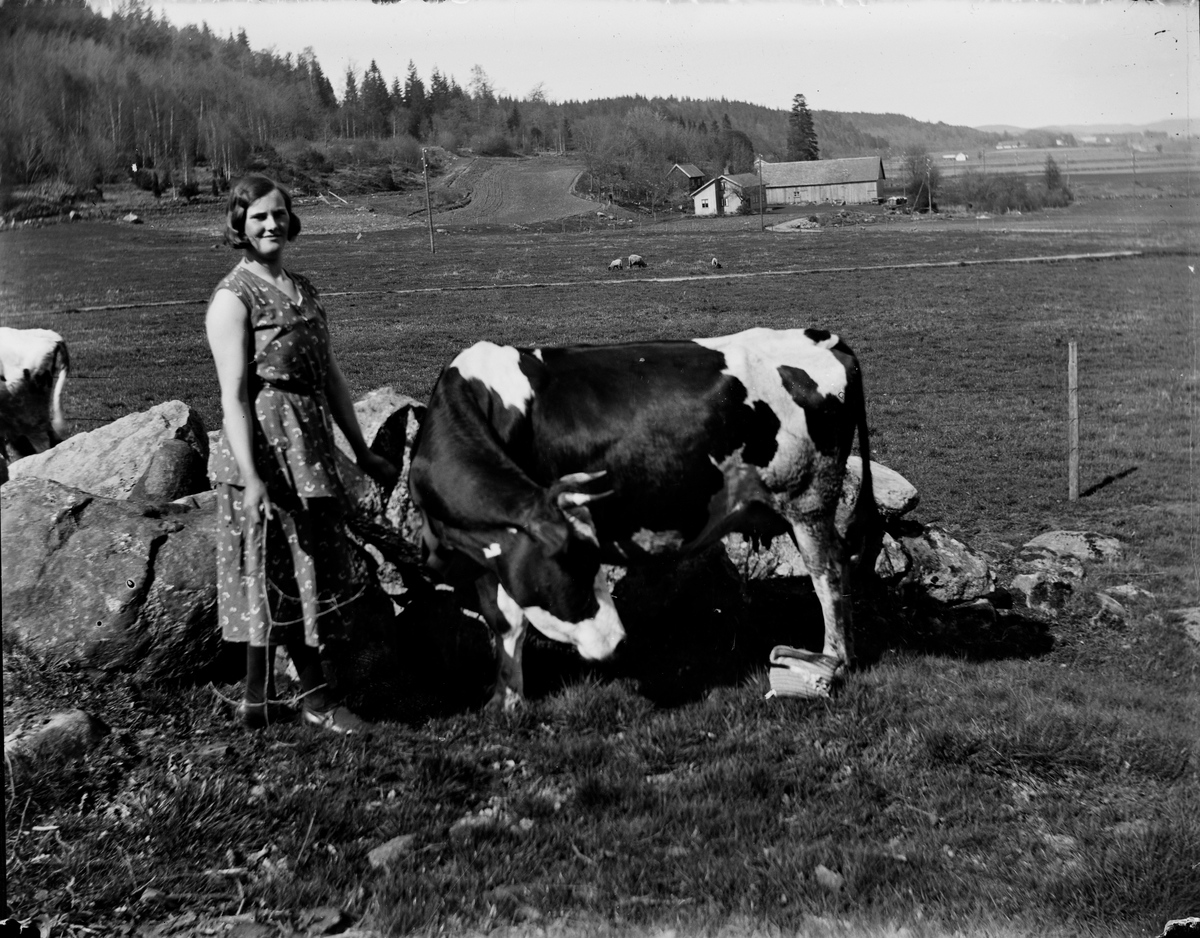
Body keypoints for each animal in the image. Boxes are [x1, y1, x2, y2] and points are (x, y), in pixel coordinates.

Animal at [408, 326, 878, 710]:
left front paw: (510, 698)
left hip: (807, 501)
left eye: (592, 560)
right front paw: (502, 698)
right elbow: (502, 621)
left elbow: (515, 619)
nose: (618, 643)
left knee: (828, 574)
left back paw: (834, 660)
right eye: (571, 563)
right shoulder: (488, 557)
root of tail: (822, 337)